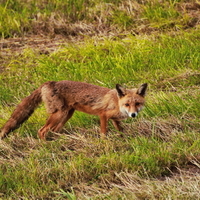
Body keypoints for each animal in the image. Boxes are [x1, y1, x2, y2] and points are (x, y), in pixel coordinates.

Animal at [0, 80, 147, 140]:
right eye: (127, 104)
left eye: (137, 103)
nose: (133, 114)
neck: (117, 103)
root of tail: (49, 83)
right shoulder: (103, 115)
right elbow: (104, 132)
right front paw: (105, 143)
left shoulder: (115, 119)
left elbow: (121, 130)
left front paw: (124, 139)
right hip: (59, 114)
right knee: (41, 131)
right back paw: (46, 146)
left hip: (67, 114)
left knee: (54, 131)